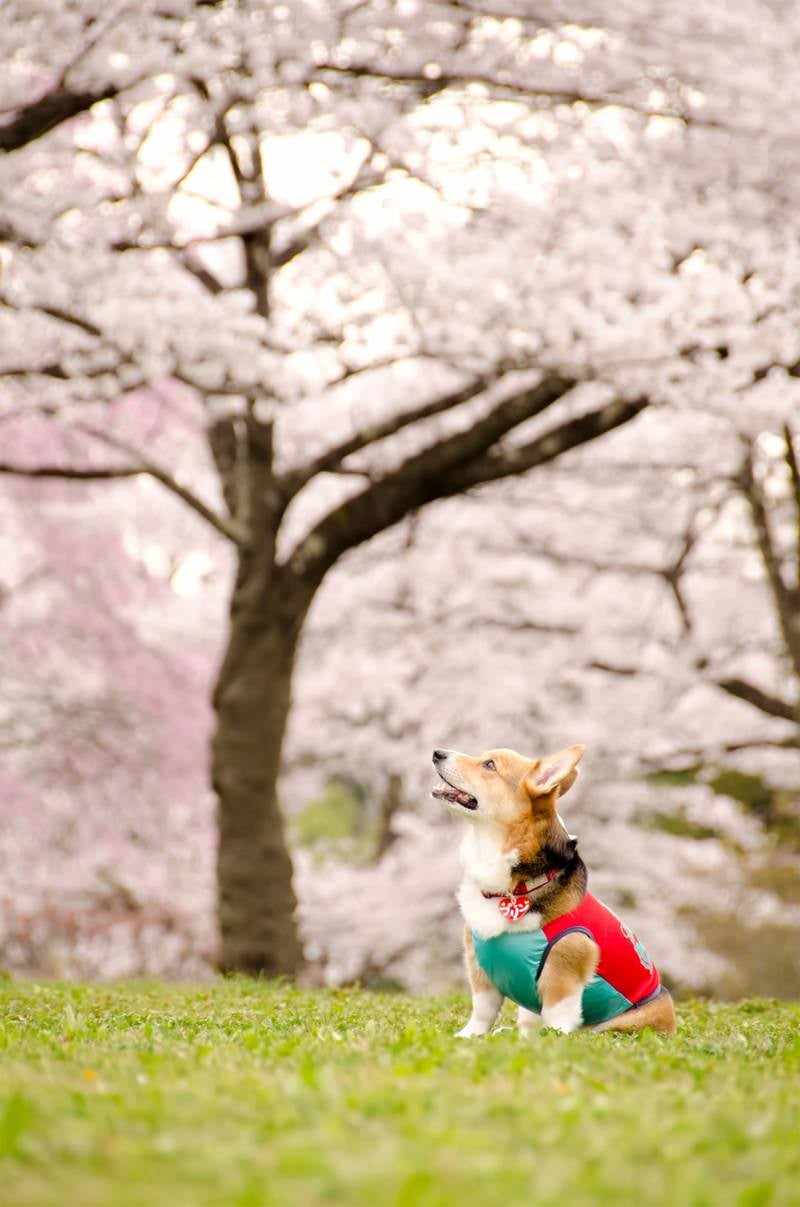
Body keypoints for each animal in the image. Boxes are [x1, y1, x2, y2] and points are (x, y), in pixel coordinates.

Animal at [431, 743, 675, 1038]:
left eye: (489, 765)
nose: (437, 753)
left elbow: (557, 1014)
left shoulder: (565, 963)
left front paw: (550, 1040)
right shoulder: (479, 967)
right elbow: (482, 1011)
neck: (514, 888)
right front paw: (469, 1036)